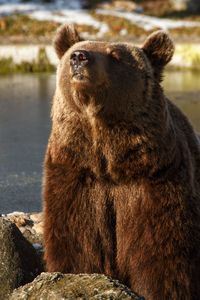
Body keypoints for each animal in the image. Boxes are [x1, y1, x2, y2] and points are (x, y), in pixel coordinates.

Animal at [43, 24, 200, 298]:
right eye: (74, 51)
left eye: (115, 55)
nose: (80, 57)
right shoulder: (74, 176)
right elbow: (77, 241)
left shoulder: (157, 179)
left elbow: (161, 252)